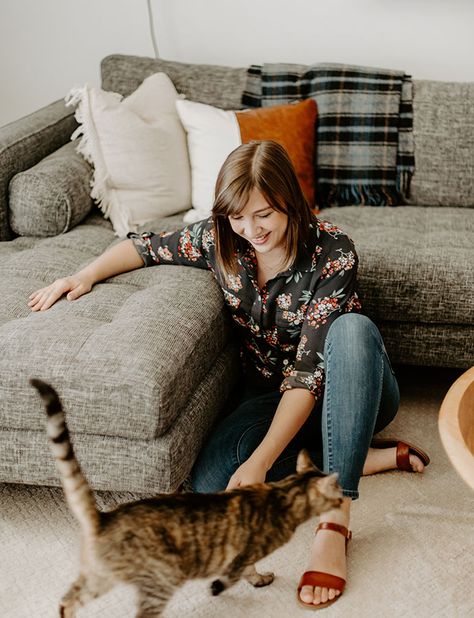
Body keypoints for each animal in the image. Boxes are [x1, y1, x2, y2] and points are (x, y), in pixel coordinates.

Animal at [30, 378, 340, 612]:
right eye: (336, 495)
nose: (342, 500)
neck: (283, 495)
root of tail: (104, 519)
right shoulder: (243, 554)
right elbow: (235, 575)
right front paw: (234, 585)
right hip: (157, 580)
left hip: (102, 577)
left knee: (67, 601)